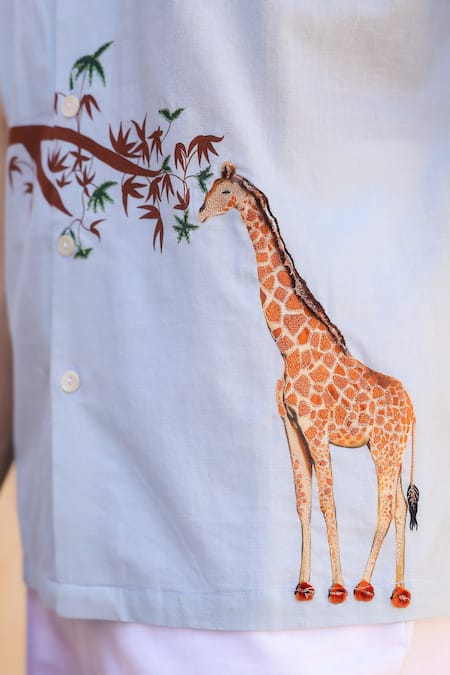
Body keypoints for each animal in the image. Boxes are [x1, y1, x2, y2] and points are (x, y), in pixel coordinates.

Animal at [198, 161, 419, 608]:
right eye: (211, 187)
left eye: (225, 191)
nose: (198, 212)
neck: (288, 345)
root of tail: (412, 408)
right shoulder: (291, 424)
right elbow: (302, 501)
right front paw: (303, 585)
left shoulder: (316, 427)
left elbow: (328, 502)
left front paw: (335, 586)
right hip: (392, 449)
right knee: (399, 509)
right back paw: (398, 590)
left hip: (384, 449)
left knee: (386, 508)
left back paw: (363, 585)